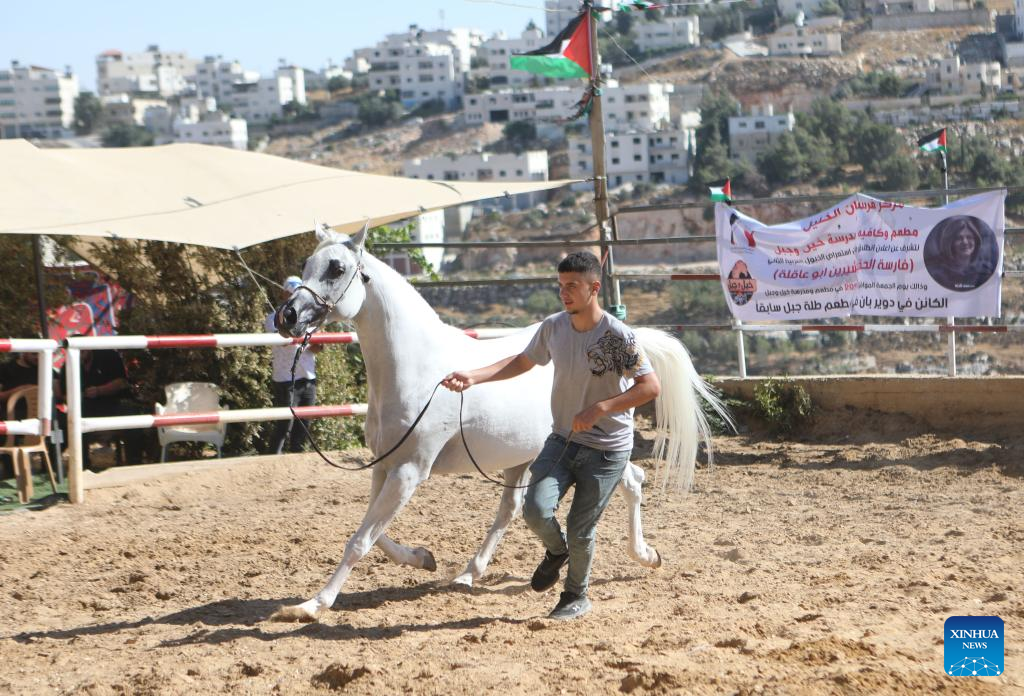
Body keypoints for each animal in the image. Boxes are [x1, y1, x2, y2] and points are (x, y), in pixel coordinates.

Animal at [268, 223, 724, 618]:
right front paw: (424, 558)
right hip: (522, 459)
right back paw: (469, 574)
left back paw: (646, 556)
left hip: (594, 451)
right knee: (512, 510)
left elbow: (360, 540)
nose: (287, 317)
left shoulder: (410, 470)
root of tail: (629, 344)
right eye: (308, 264)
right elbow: (376, 535)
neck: (421, 370)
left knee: (631, 482)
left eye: (336, 268)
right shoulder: (385, 468)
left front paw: (312, 605)